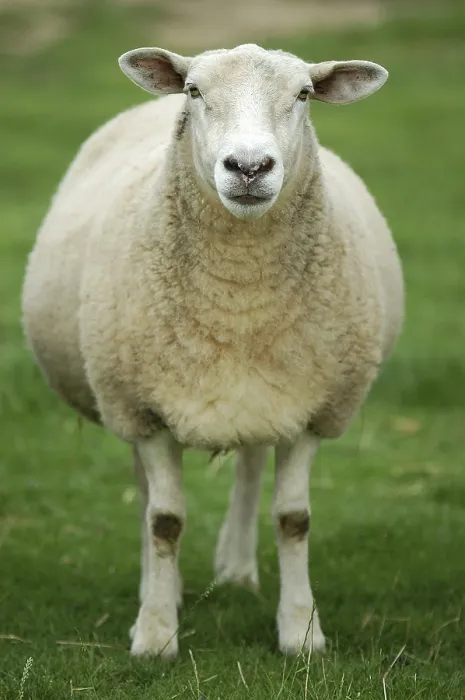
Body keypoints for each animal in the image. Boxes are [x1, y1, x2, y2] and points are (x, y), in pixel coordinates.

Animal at [21, 43, 404, 659]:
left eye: (303, 94)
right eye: (195, 91)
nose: (248, 168)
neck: (239, 302)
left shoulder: (312, 409)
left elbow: (293, 519)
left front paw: (301, 631)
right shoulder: (145, 410)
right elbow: (164, 521)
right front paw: (155, 634)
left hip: (263, 400)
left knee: (249, 467)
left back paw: (238, 571)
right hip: (126, 400)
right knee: (147, 495)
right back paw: (159, 585)